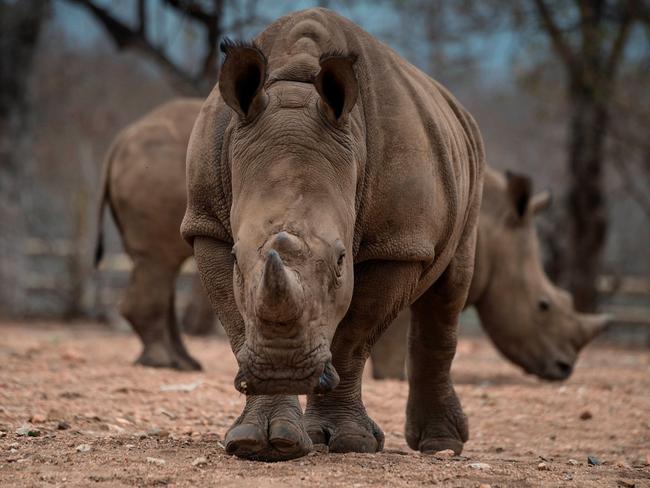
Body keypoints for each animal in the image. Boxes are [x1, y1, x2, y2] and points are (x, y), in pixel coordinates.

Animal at [180, 8, 484, 462]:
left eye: (342, 260)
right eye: (236, 256)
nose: (283, 369)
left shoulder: (395, 243)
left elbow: (354, 335)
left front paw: (351, 442)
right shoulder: (207, 224)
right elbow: (238, 323)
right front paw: (259, 442)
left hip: (471, 168)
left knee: (449, 289)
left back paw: (441, 446)